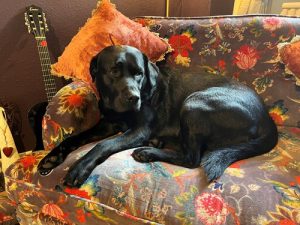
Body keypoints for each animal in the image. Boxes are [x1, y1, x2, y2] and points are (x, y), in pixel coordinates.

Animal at [38, 44, 278, 187]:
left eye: (139, 73)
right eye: (114, 71)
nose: (134, 98)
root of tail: (268, 121)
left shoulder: (139, 130)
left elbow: (103, 145)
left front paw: (80, 167)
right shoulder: (107, 124)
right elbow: (75, 137)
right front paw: (51, 158)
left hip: (194, 102)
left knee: (192, 158)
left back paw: (148, 151)